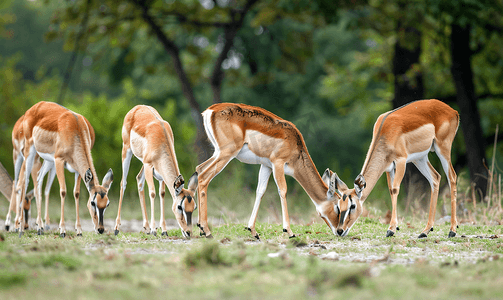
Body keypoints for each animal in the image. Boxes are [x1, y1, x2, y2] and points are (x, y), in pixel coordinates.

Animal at [13, 102, 113, 238]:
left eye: (107, 203)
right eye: (93, 202)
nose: (101, 229)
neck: (75, 128)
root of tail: (34, 107)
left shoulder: (78, 170)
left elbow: (76, 193)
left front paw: (79, 230)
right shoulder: (59, 161)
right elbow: (63, 191)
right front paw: (63, 230)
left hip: (48, 160)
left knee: (38, 179)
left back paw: (40, 227)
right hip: (30, 152)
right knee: (25, 182)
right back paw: (21, 228)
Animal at [114, 104, 199, 238]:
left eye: (194, 207)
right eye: (180, 207)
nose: (188, 232)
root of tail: (136, 107)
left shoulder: (160, 174)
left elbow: (162, 194)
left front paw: (164, 230)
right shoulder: (149, 166)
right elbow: (153, 193)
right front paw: (155, 230)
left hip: (143, 164)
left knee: (139, 179)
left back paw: (146, 228)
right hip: (127, 151)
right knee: (124, 182)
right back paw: (117, 229)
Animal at [195, 103, 344, 239]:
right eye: (337, 207)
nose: (339, 231)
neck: (295, 145)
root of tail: (212, 110)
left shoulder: (266, 166)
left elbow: (260, 191)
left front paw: (253, 230)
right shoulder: (277, 163)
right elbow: (283, 190)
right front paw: (289, 231)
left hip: (217, 153)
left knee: (198, 169)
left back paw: (200, 229)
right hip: (226, 154)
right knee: (203, 176)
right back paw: (206, 230)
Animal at [332, 99, 458, 238]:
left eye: (353, 206)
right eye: (339, 206)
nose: (340, 231)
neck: (386, 132)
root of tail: (453, 111)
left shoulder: (401, 161)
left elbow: (396, 189)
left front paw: (391, 229)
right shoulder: (388, 168)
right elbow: (391, 190)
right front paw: (394, 227)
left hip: (443, 149)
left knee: (452, 177)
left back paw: (452, 230)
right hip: (420, 158)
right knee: (435, 178)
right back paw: (425, 231)